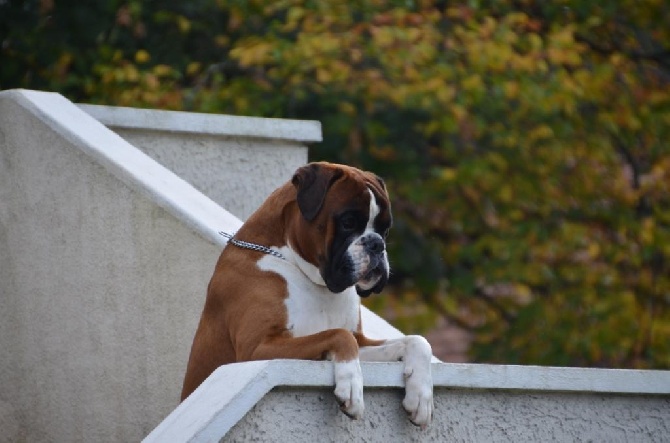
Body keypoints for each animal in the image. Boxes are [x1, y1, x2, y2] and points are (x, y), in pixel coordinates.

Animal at [181, 162, 434, 426]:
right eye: (348, 222)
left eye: (384, 229)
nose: (377, 244)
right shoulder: (257, 348)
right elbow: (339, 334)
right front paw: (352, 386)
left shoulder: (361, 341)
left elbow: (417, 341)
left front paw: (421, 395)